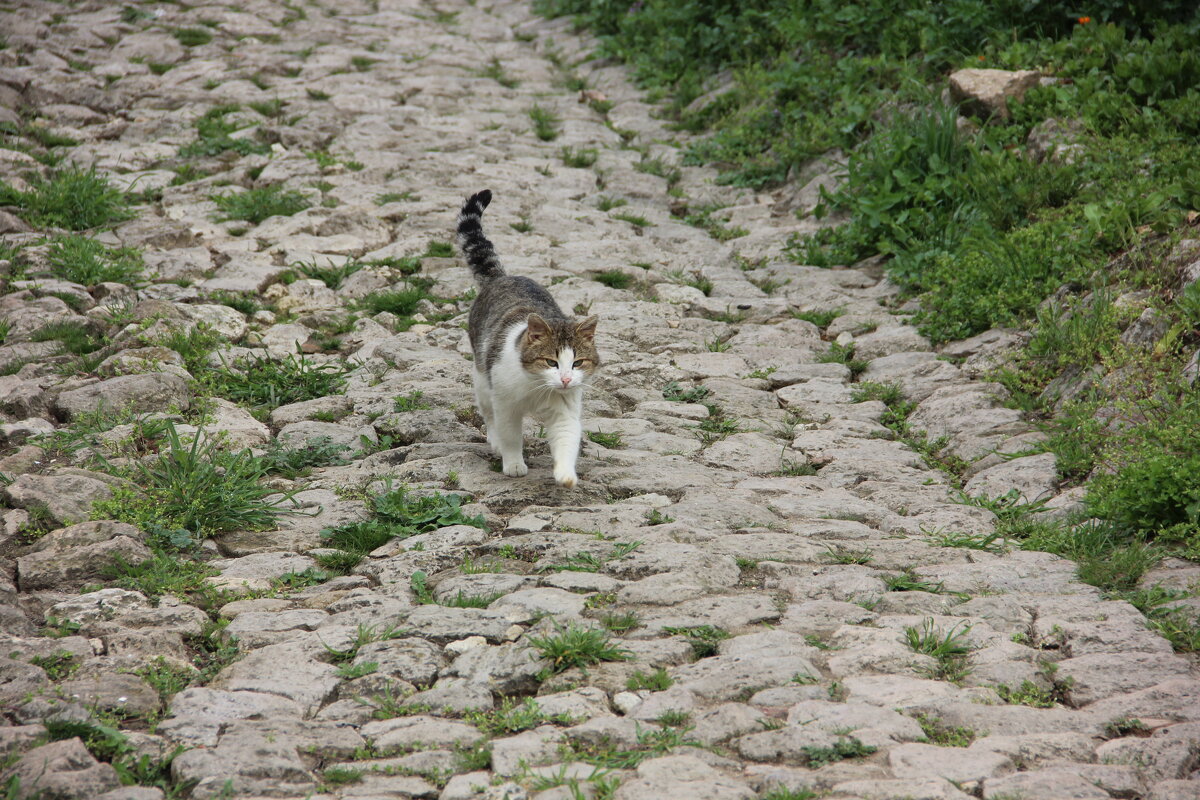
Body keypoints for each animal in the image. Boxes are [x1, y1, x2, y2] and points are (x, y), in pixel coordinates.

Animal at [453, 189, 600, 489]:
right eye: (551, 362)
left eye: (577, 363)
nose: (565, 379)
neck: (538, 389)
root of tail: (502, 277)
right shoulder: (506, 404)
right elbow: (510, 435)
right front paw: (513, 464)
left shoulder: (565, 410)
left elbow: (567, 439)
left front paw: (565, 474)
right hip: (483, 380)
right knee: (489, 415)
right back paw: (495, 442)